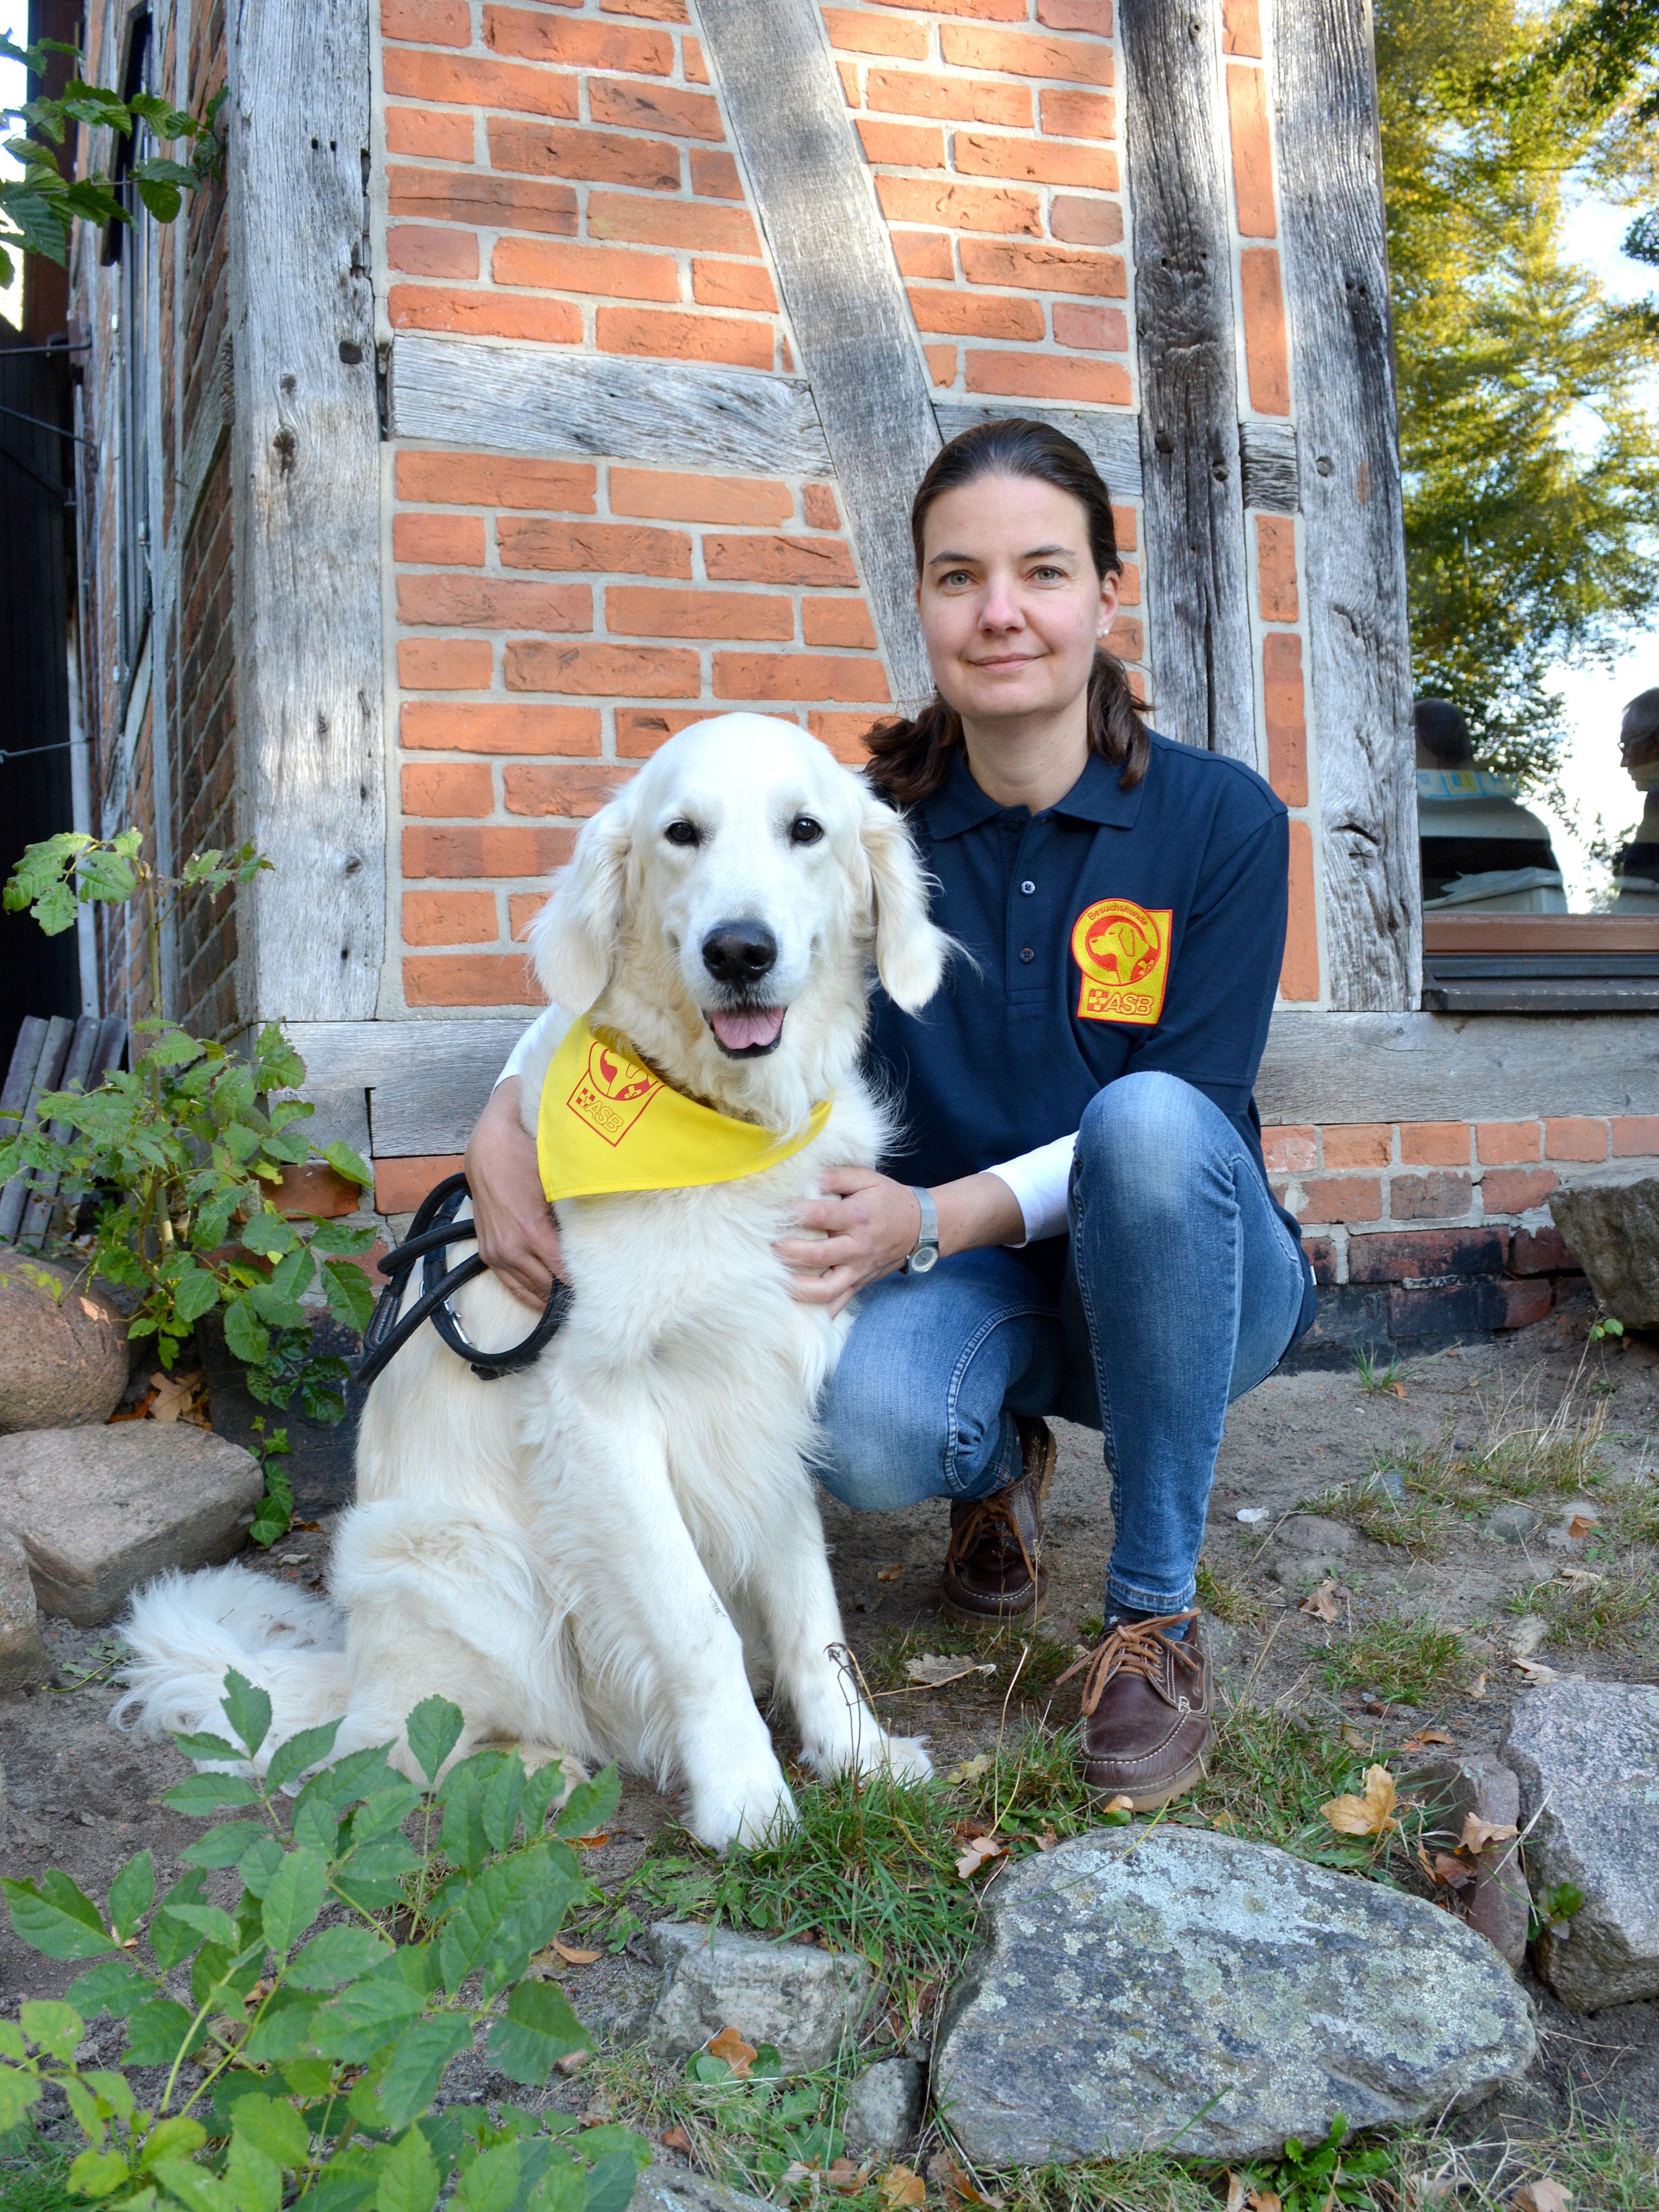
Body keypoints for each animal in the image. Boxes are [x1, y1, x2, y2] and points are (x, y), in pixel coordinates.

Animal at [117, 712, 946, 1849]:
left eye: (805, 830)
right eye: (681, 833)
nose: (738, 950)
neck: (717, 1127)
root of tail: (350, 1666)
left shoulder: (766, 1400)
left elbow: (810, 1610)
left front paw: (855, 1754)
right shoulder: (599, 1411)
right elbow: (695, 1625)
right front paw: (745, 1796)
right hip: (446, 1559)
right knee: (396, 1744)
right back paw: (534, 1771)